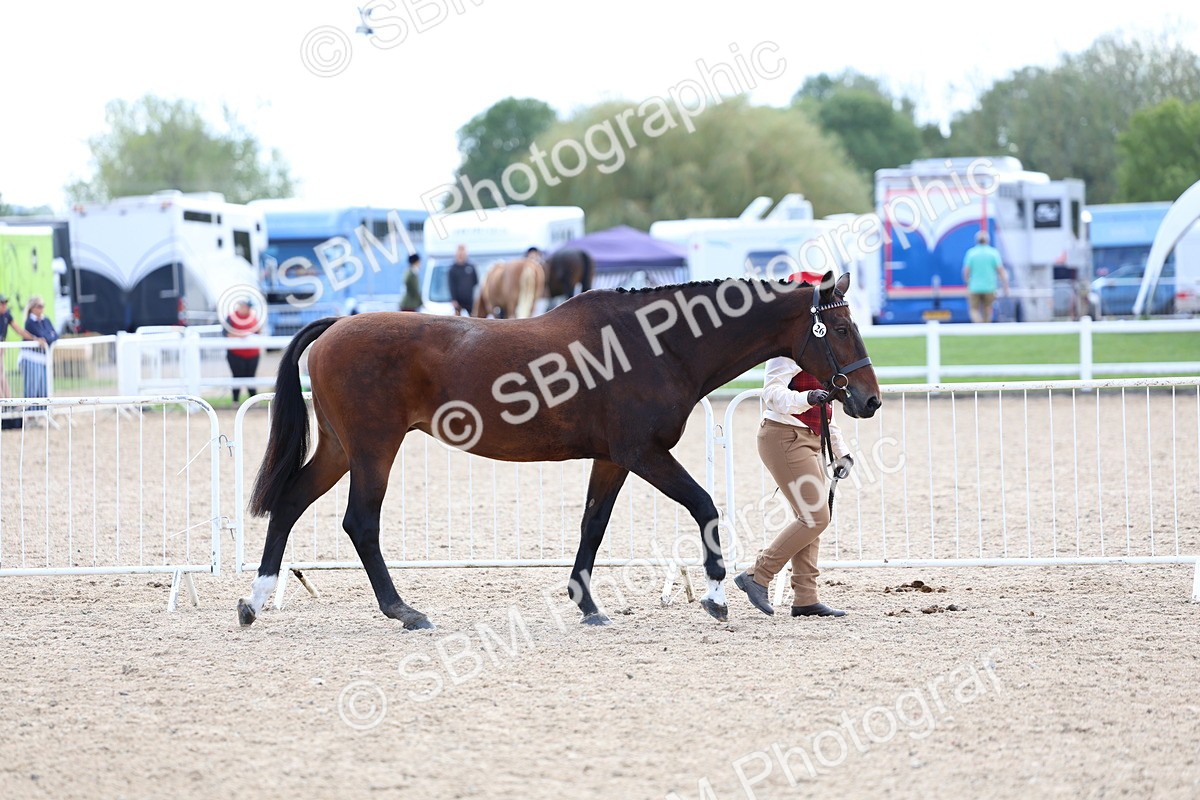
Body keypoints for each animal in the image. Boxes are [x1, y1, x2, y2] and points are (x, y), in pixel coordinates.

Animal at [238, 270, 881, 630]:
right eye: (841, 329)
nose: (868, 399)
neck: (657, 344)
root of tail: (333, 327)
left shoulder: (612, 459)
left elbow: (592, 525)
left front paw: (587, 604)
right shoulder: (644, 454)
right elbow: (705, 507)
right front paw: (717, 597)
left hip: (340, 449)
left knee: (290, 503)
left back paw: (257, 600)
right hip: (374, 449)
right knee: (360, 523)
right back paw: (404, 612)